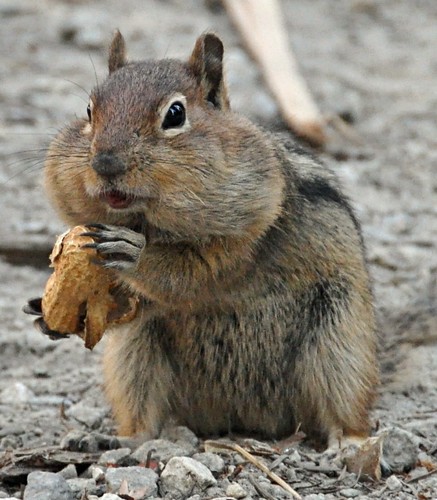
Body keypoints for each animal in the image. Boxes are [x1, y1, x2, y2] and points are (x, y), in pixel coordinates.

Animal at [32, 31, 378, 446]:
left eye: (175, 114)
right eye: (88, 111)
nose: (105, 163)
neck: (149, 224)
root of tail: (249, 420)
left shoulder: (246, 234)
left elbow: (191, 273)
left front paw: (135, 253)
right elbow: (131, 304)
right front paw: (44, 315)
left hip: (338, 345)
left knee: (343, 409)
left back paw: (347, 444)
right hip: (134, 354)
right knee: (144, 412)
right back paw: (122, 439)